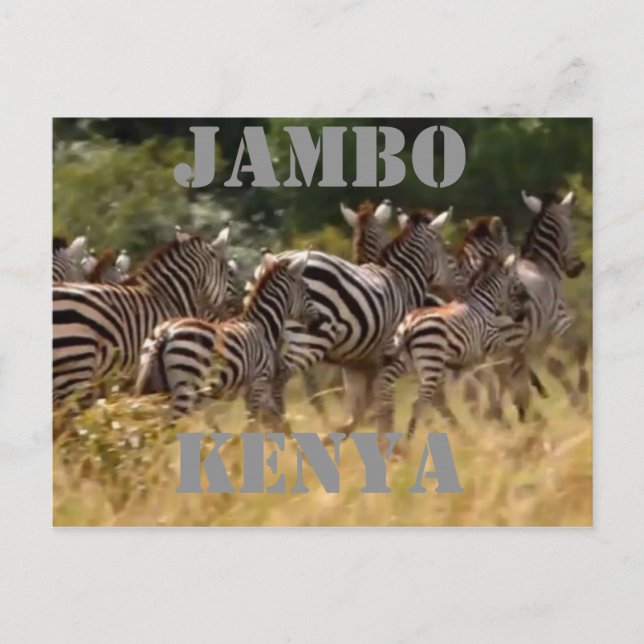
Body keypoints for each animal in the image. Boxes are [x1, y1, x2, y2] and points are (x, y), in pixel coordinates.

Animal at [133, 251, 321, 423]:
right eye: (306, 288)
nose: (317, 320)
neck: (262, 325)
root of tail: (165, 332)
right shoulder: (258, 383)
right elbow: (252, 425)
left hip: (156, 387)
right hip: (185, 388)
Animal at [267, 207, 456, 434]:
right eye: (447, 248)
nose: (451, 293)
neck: (402, 280)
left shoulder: (356, 364)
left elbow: (360, 408)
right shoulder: (390, 359)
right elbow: (384, 405)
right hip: (311, 340)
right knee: (283, 381)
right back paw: (283, 429)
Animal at [375, 254, 529, 438]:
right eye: (517, 284)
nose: (522, 316)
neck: (483, 304)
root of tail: (409, 325)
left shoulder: (472, 358)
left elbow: (483, 382)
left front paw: (494, 413)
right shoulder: (493, 344)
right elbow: (503, 371)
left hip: (413, 365)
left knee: (425, 399)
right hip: (431, 363)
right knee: (419, 403)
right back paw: (409, 441)